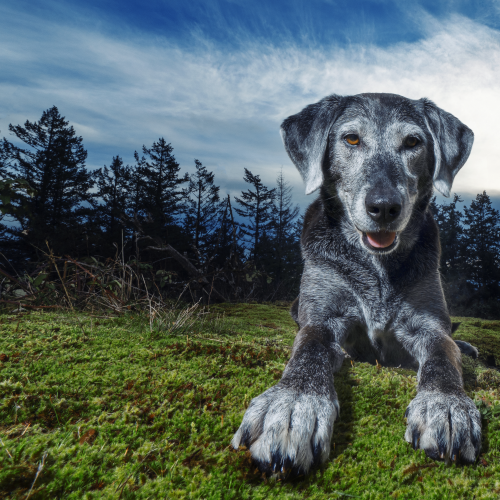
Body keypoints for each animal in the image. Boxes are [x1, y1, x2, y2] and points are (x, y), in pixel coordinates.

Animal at [232, 93, 482, 476]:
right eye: (351, 139)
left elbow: (443, 354)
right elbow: (309, 349)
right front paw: (292, 405)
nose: (384, 207)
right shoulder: (323, 318)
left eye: (413, 142)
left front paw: (446, 404)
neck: (376, 265)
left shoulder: (427, 324)